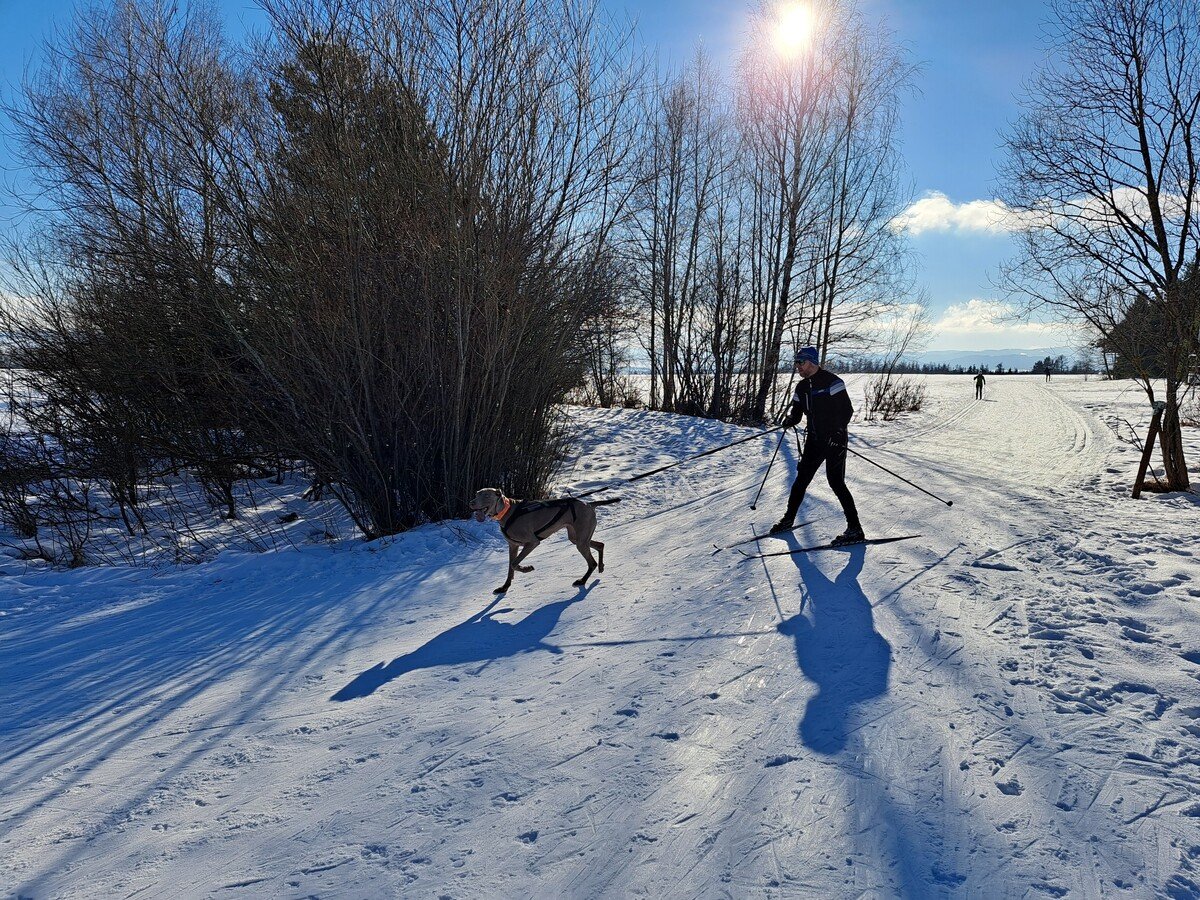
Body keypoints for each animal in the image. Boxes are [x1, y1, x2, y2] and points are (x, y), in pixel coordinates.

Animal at [465, 489, 624, 595]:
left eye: (486, 495)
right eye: (476, 494)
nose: (471, 503)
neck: (508, 512)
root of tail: (589, 504)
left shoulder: (532, 542)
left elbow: (514, 564)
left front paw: (527, 568)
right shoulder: (513, 546)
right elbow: (510, 567)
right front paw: (504, 587)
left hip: (581, 540)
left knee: (592, 562)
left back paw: (582, 581)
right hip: (578, 538)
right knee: (600, 545)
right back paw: (601, 566)